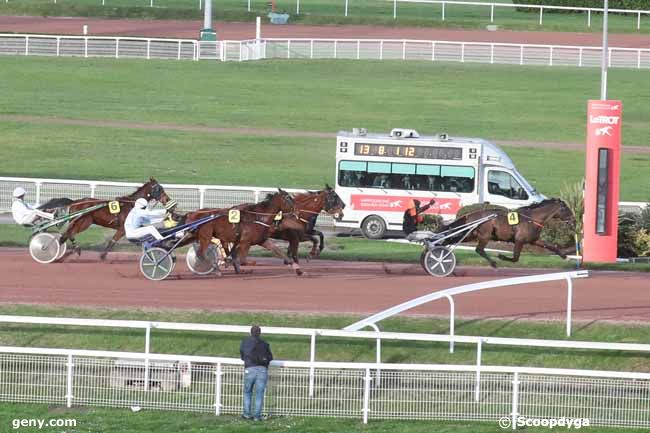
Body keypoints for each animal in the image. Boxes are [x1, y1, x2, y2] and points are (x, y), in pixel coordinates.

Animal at [440, 198, 572, 266]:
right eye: (566, 209)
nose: (573, 219)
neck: (532, 218)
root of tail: (470, 215)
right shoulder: (519, 240)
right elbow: (515, 258)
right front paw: (501, 256)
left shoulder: (534, 240)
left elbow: (551, 246)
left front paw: (565, 256)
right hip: (484, 235)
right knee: (479, 249)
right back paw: (493, 263)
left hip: (470, 235)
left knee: (452, 240)